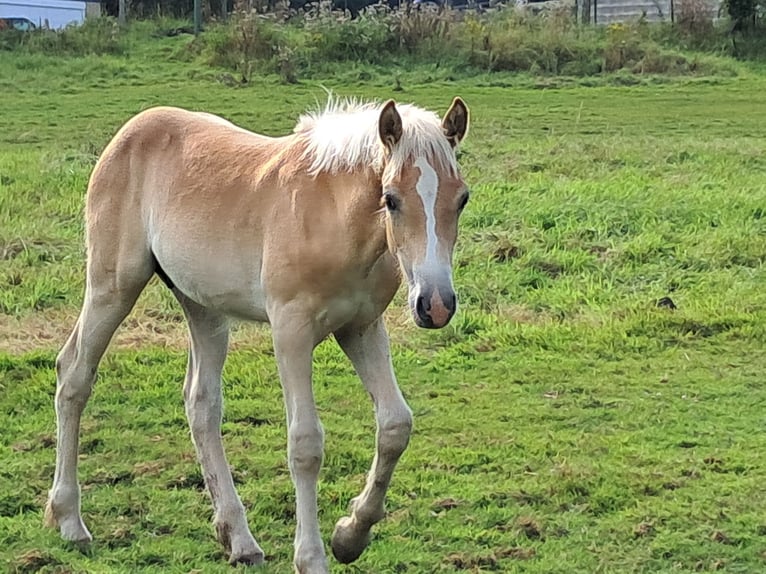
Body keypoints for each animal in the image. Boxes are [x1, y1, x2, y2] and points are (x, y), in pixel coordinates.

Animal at [46, 97, 474, 572]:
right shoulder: (291, 330)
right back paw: (70, 521)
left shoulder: (361, 328)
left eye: (462, 198)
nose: (435, 305)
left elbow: (396, 424)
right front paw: (312, 557)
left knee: (201, 402)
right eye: (391, 199)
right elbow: (305, 443)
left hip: (203, 306)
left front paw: (350, 535)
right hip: (113, 285)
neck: (333, 219)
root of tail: (131, 130)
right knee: (74, 374)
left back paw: (239, 539)